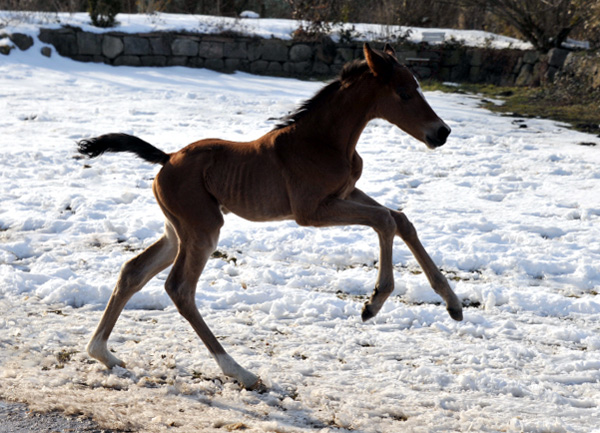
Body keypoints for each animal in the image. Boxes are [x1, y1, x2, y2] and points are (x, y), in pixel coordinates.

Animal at [78, 43, 464, 388]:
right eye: (404, 93)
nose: (441, 132)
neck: (323, 142)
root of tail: (167, 157)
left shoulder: (345, 194)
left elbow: (400, 219)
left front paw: (453, 304)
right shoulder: (312, 210)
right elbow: (384, 220)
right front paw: (374, 302)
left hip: (177, 231)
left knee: (133, 271)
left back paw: (103, 353)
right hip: (203, 230)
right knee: (180, 288)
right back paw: (240, 372)